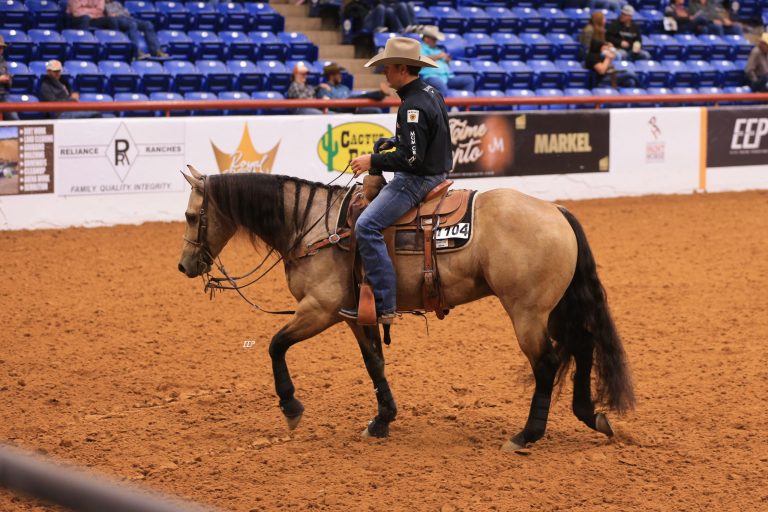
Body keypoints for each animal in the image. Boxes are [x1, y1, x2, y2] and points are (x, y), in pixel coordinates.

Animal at [177, 165, 635, 451]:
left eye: (191, 215)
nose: (184, 266)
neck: (313, 227)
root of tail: (556, 210)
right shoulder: (355, 314)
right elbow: (374, 363)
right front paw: (382, 420)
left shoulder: (319, 310)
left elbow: (275, 346)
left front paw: (291, 409)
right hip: (552, 309)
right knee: (582, 348)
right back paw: (591, 416)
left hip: (527, 312)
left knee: (548, 363)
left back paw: (527, 435)